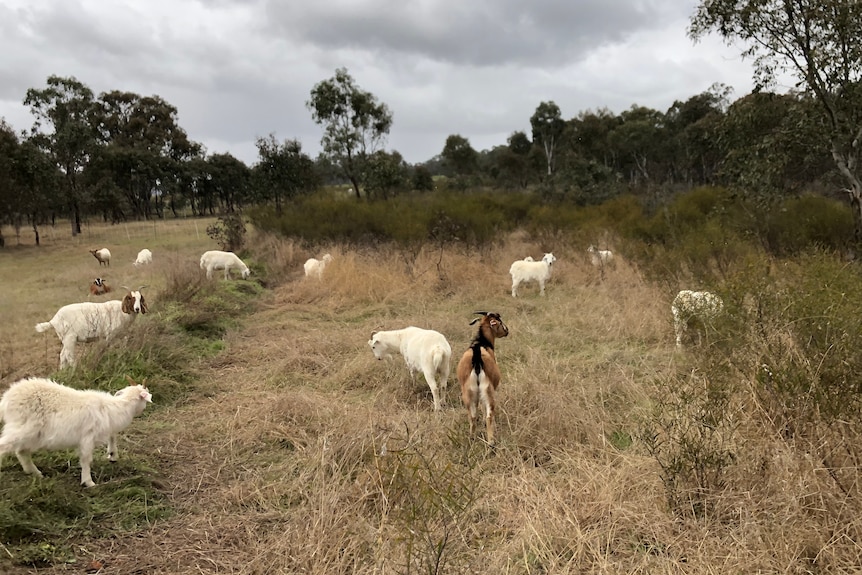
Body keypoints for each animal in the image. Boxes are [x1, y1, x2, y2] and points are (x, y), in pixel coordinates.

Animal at [0, 376, 152, 488]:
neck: (115, 408)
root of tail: (6, 399)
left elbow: (112, 436)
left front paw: (113, 455)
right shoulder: (87, 437)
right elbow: (86, 460)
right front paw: (89, 482)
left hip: (31, 434)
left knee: (21, 451)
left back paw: (35, 473)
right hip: (23, 428)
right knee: (6, 446)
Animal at [456, 312, 510, 444]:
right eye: (499, 321)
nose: (507, 331)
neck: (481, 343)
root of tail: (477, 357)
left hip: (468, 394)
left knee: (472, 416)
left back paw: (472, 438)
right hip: (488, 391)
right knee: (489, 415)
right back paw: (491, 442)